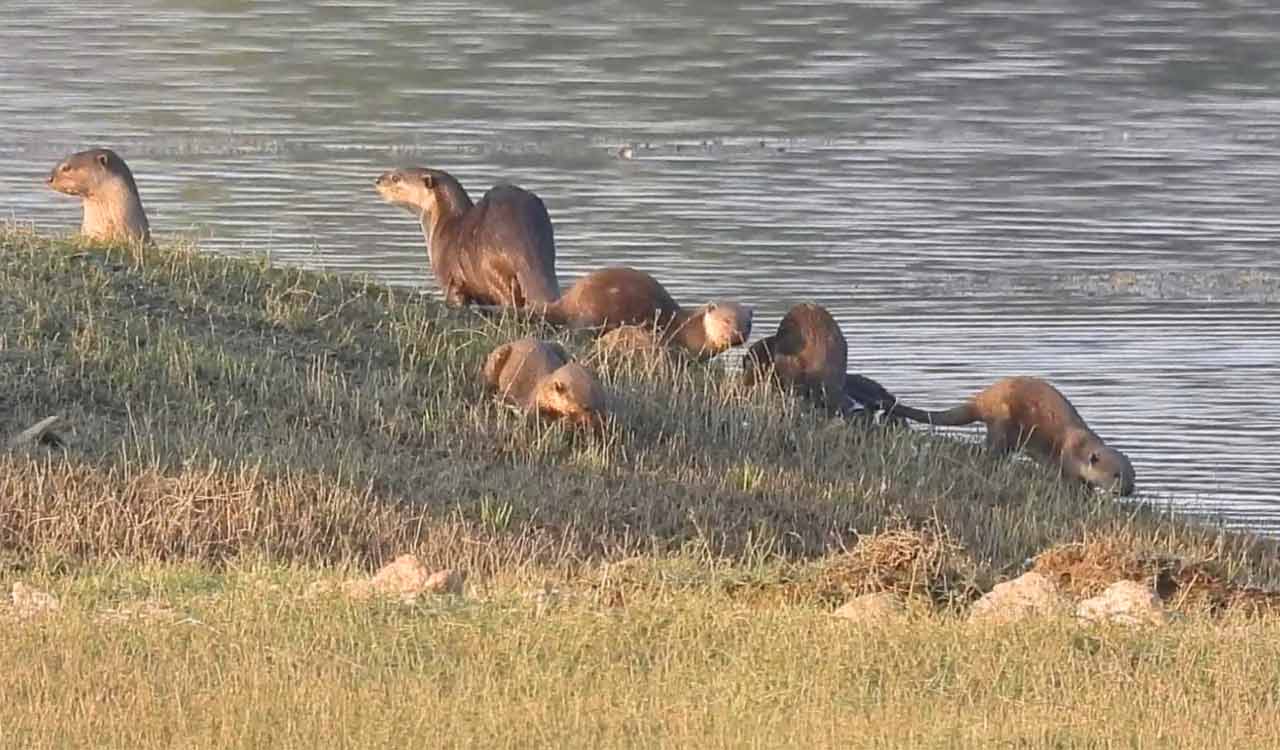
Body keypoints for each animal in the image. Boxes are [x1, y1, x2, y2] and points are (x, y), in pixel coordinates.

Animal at [889, 377, 1136, 495]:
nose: (1128, 490)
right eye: (1116, 475)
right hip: (1002, 421)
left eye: (1133, 476)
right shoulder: (1067, 457)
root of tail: (983, 398)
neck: (1081, 447)